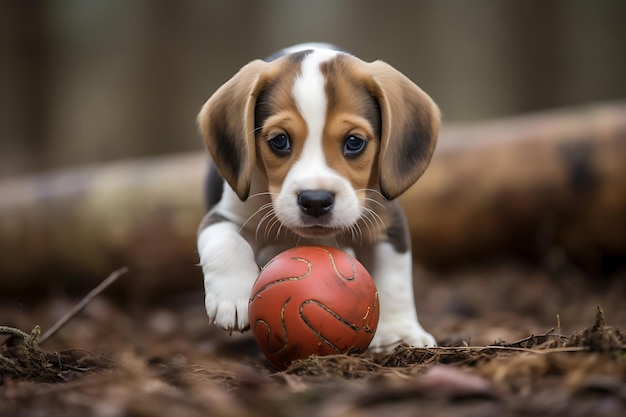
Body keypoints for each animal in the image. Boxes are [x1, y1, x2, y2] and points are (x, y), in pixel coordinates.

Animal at [197, 43, 436, 352]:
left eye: (354, 142)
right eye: (279, 141)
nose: (315, 200)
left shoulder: (388, 223)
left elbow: (395, 279)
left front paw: (400, 333)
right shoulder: (225, 214)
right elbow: (225, 241)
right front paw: (232, 297)